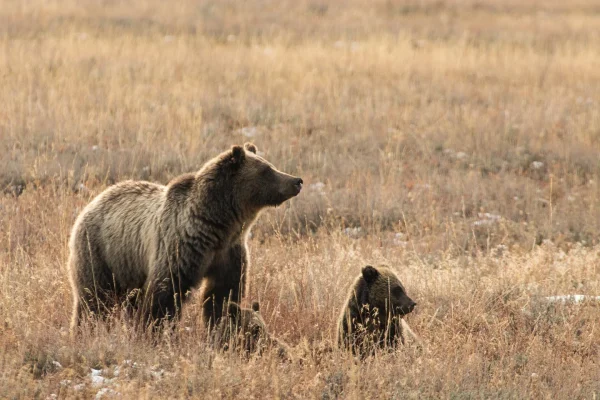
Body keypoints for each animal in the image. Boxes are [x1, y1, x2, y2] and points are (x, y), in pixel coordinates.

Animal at [68, 143, 302, 332]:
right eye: (266, 170)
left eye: (270, 165)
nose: (297, 181)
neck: (218, 226)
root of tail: (95, 200)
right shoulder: (180, 247)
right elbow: (164, 296)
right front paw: (154, 331)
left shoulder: (229, 252)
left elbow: (222, 294)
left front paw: (222, 326)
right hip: (100, 251)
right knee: (94, 298)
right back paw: (85, 330)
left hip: (128, 266)